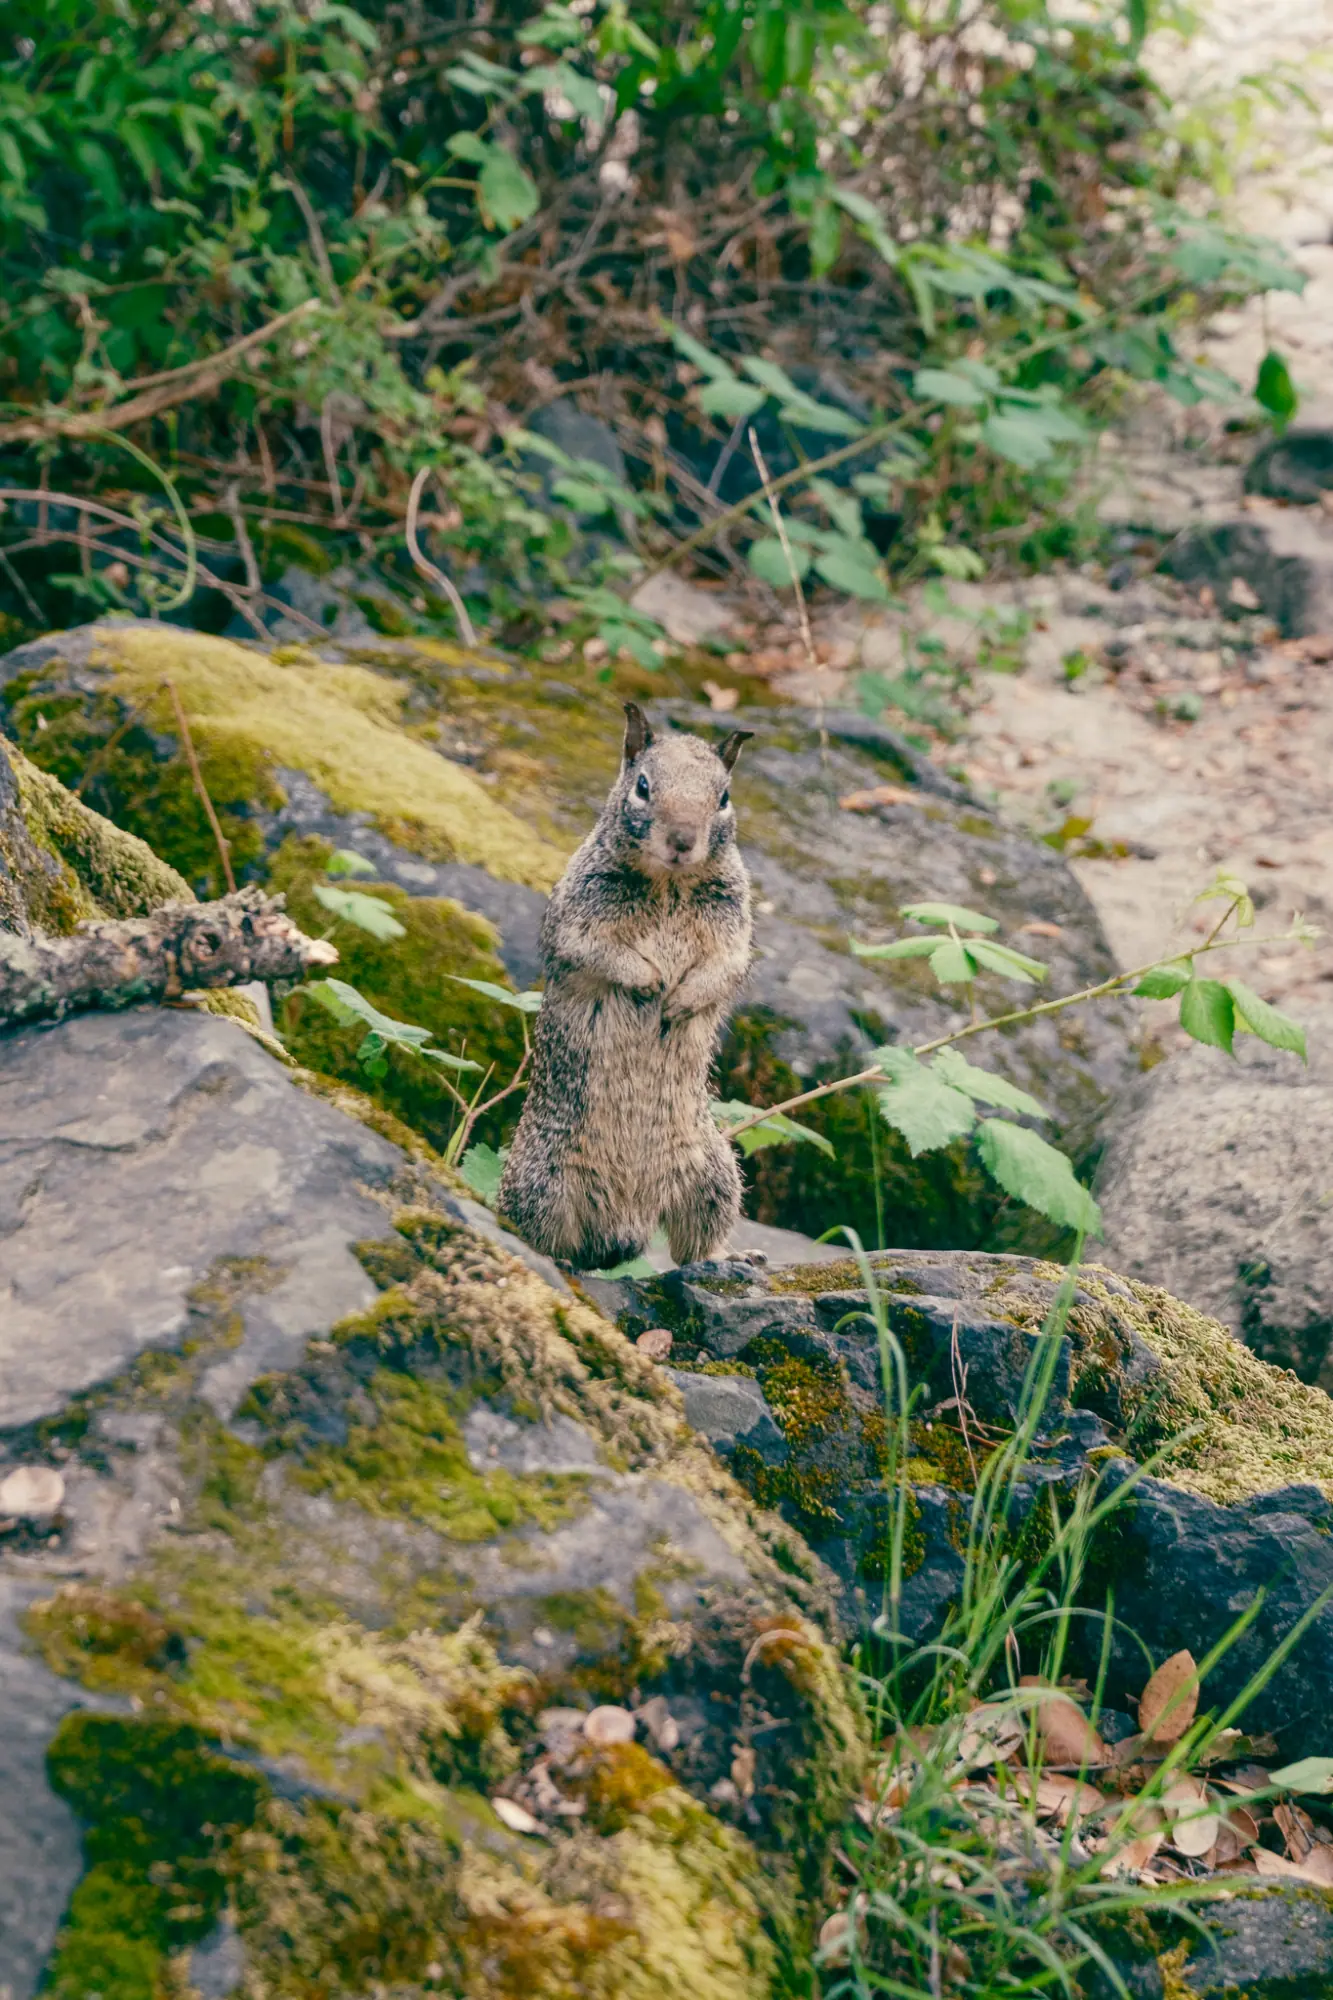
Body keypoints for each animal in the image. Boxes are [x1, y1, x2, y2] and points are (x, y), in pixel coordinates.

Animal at [498, 701, 753, 1271]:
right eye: (642, 786)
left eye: (724, 797)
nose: (682, 841)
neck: (669, 882)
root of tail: (626, 1219)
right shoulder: (576, 919)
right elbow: (593, 952)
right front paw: (648, 983)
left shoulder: (734, 931)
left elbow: (726, 969)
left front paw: (680, 1001)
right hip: (543, 1182)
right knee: (542, 1234)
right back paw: (562, 1260)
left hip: (714, 1173)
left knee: (693, 1244)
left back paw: (727, 1258)